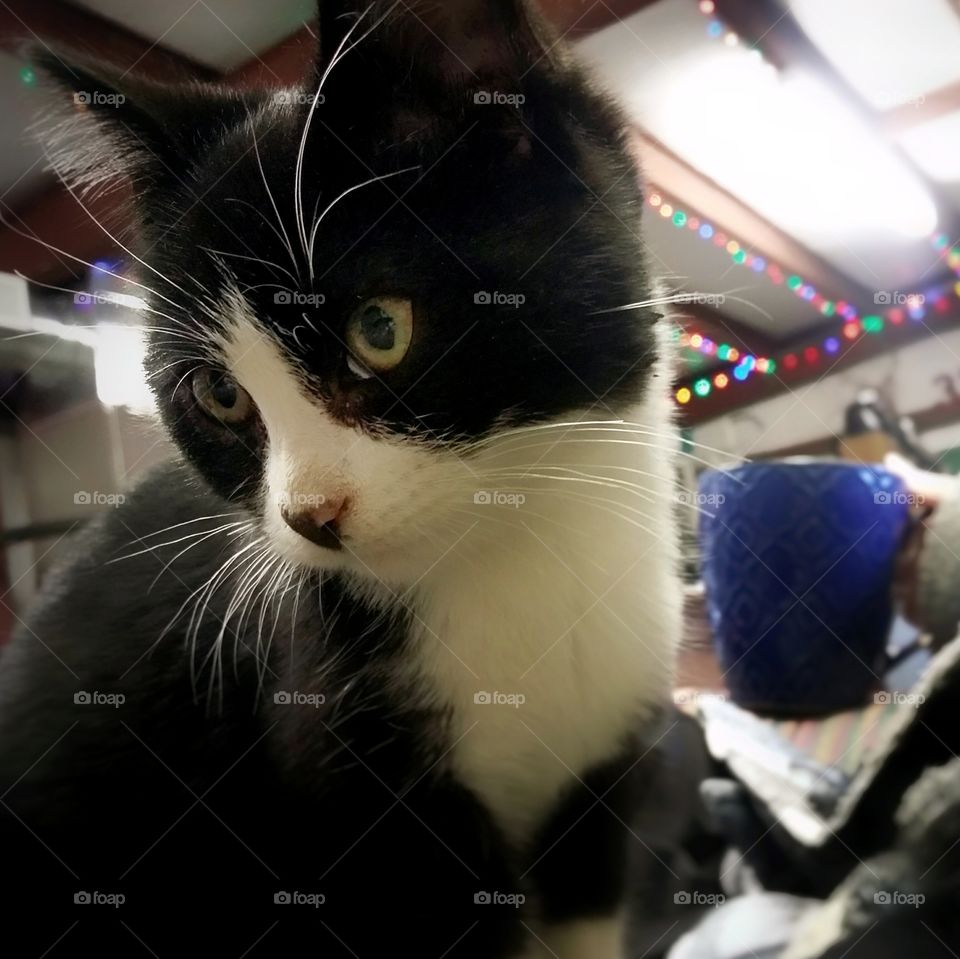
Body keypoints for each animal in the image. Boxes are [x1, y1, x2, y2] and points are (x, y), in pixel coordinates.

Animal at [0, 3, 684, 956]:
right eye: (219, 394)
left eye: (380, 328)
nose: (309, 514)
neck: (515, 554)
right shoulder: (351, 786)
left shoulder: (607, 766)